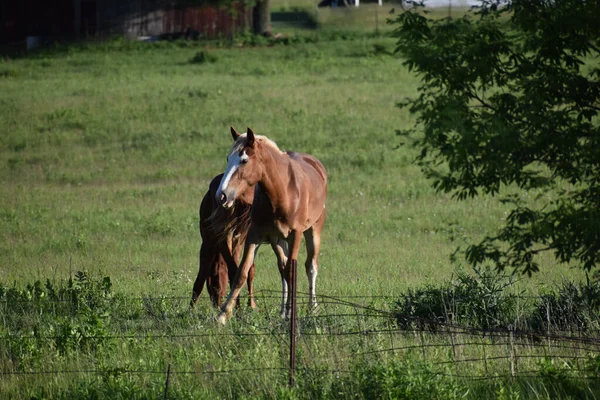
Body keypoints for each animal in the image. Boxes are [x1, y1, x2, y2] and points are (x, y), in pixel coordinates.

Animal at [191, 173, 256, 308]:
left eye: (213, 283)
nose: (216, 303)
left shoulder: (207, 245)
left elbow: (200, 280)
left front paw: (190, 309)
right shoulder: (238, 243)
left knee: (233, 272)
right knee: (243, 270)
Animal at [216, 126, 326, 324]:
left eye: (244, 160)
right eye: (228, 158)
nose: (222, 196)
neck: (283, 191)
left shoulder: (296, 235)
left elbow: (293, 271)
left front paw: (293, 312)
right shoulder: (255, 235)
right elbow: (242, 273)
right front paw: (222, 315)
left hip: (313, 231)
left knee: (310, 267)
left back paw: (312, 308)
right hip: (278, 240)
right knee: (283, 269)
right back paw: (284, 311)